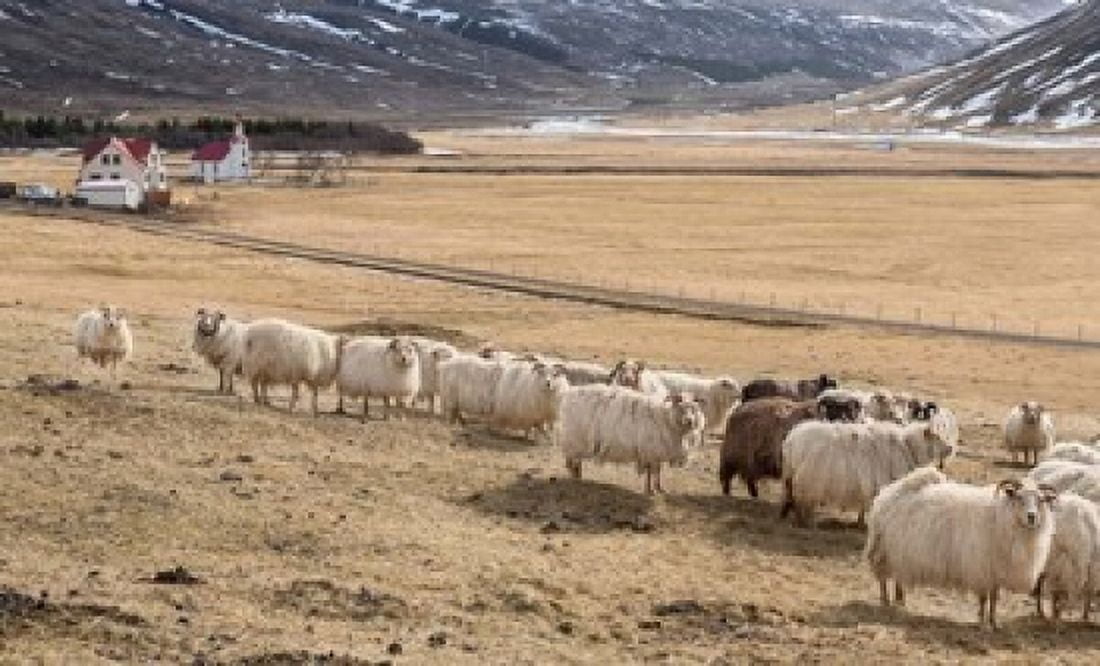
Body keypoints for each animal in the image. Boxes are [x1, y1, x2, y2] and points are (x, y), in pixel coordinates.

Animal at [555, 386, 705, 494]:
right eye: (679, 405)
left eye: (694, 408)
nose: (690, 421)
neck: (666, 418)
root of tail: (568, 394)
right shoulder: (649, 451)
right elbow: (651, 472)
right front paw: (649, 491)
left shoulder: (654, 453)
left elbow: (657, 472)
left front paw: (659, 489)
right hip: (574, 441)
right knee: (573, 463)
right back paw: (576, 480)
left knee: (575, 463)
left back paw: (579, 478)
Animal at [780, 419, 955, 526]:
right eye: (936, 436)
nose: (951, 448)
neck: (908, 448)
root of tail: (791, 440)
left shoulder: (868, 486)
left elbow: (864, 507)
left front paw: (860, 522)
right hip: (808, 481)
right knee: (802, 501)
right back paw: (808, 523)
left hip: (793, 476)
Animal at [865, 469, 1057, 629]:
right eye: (1019, 497)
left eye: (1041, 500)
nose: (1032, 516)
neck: (1002, 517)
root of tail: (889, 491)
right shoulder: (981, 568)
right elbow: (984, 598)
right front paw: (982, 621)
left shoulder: (994, 570)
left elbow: (994, 598)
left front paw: (994, 622)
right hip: (883, 550)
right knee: (883, 579)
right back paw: (885, 602)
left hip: (900, 552)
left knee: (898, 577)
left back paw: (900, 602)